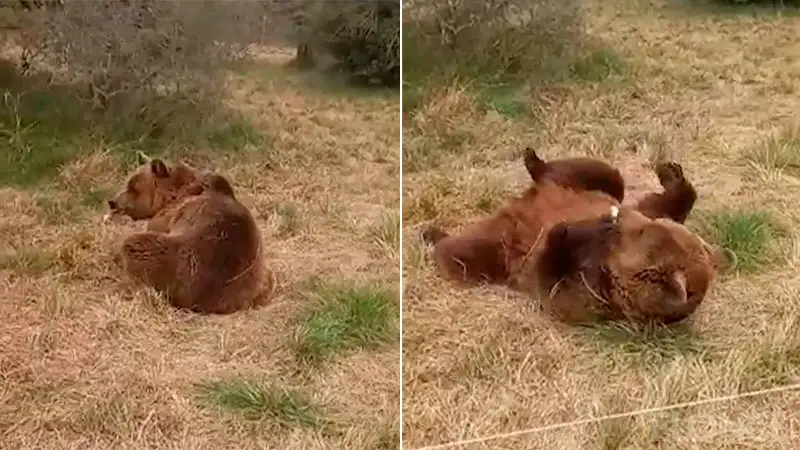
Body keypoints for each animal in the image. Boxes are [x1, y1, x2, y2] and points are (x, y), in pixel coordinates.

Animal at [107, 151, 271, 314]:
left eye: (132, 187)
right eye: (129, 183)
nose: (112, 202)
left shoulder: (168, 217)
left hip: (179, 261)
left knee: (135, 245)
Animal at [422, 154, 728, 325]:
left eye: (641, 232)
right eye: (647, 227)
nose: (617, 217)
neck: (608, 263)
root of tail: (518, 203)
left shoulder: (588, 293)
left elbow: (549, 277)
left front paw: (565, 233)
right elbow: (663, 204)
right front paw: (673, 175)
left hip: (498, 246)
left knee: (465, 257)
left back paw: (433, 235)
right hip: (576, 185)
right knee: (601, 173)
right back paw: (534, 160)